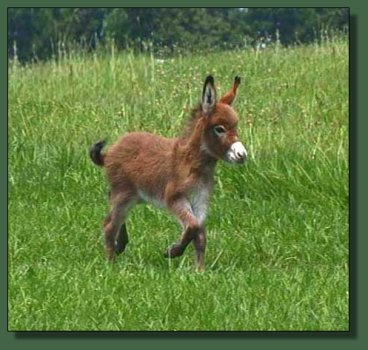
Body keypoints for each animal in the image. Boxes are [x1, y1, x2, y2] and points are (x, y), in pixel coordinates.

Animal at [89, 76, 247, 270]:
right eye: (219, 129)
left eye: (236, 127)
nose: (242, 155)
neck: (192, 164)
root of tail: (110, 152)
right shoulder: (174, 197)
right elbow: (192, 226)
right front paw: (172, 252)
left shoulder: (200, 200)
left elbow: (199, 235)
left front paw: (199, 270)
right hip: (124, 194)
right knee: (109, 226)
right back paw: (111, 265)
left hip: (132, 195)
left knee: (110, 212)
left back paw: (120, 245)